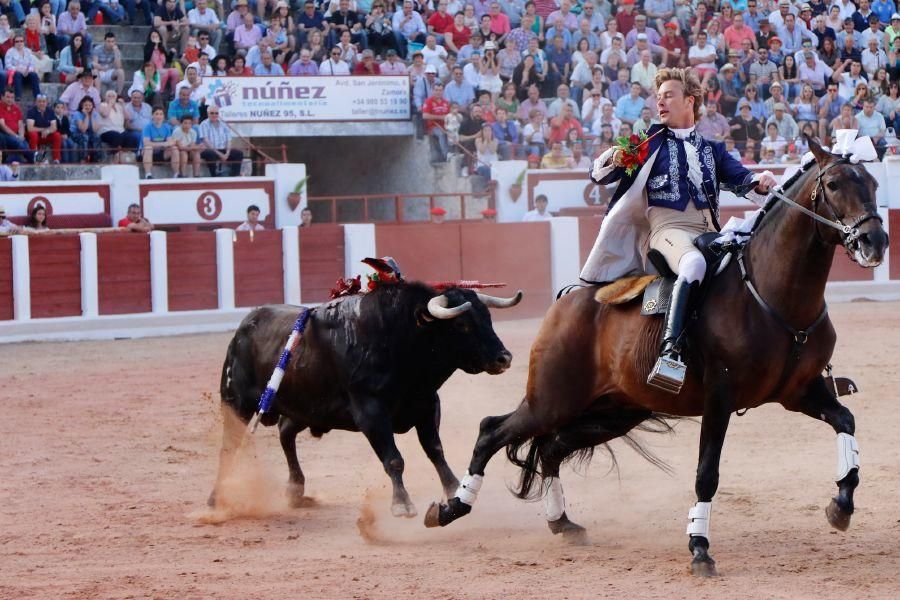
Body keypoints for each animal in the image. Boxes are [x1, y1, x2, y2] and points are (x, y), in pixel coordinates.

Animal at [208, 282, 524, 516]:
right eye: (462, 326)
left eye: (487, 318)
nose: (504, 358)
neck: (399, 340)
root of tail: (242, 329)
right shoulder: (370, 412)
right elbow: (394, 459)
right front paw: (402, 504)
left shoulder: (426, 405)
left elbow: (435, 450)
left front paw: (453, 489)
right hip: (237, 403)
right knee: (229, 445)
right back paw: (217, 498)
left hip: (307, 409)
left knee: (285, 433)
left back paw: (295, 490)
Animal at [426, 137, 888, 576]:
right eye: (833, 184)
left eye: (873, 183)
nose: (875, 241)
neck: (774, 293)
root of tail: (570, 298)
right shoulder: (720, 399)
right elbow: (706, 474)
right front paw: (699, 549)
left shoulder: (799, 392)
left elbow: (846, 421)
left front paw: (841, 505)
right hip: (552, 399)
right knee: (492, 430)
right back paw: (449, 508)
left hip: (614, 411)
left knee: (552, 448)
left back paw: (562, 522)